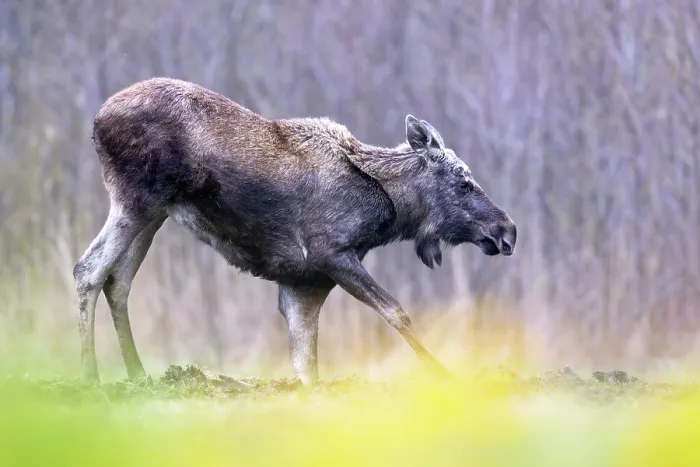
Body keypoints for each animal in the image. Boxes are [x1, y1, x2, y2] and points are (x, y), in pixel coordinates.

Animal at [73, 77, 517, 385]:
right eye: (464, 182)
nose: (507, 231)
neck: (391, 210)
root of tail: (96, 120)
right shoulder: (329, 254)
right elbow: (396, 312)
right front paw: (447, 377)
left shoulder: (303, 285)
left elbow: (308, 367)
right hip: (136, 199)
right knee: (88, 270)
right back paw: (90, 377)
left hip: (155, 213)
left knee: (118, 281)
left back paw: (137, 374)